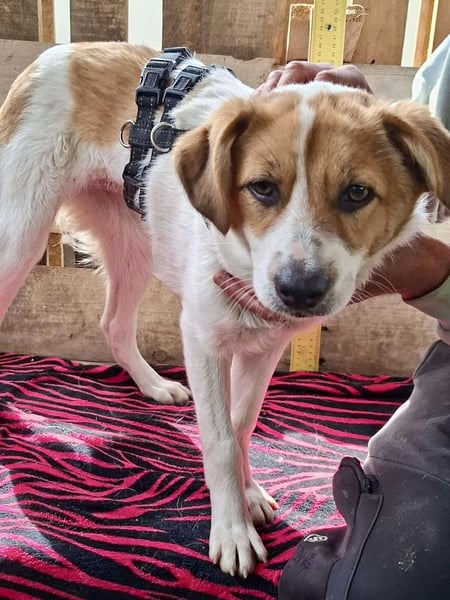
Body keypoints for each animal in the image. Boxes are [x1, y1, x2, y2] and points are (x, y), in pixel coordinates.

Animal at [1, 42, 450, 577]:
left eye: (357, 193)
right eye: (262, 188)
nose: (299, 292)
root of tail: (62, 50)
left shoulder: (264, 347)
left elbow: (241, 425)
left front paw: (246, 492)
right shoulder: (204, 339)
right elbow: (217, 438)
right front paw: (231, 530)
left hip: (136, 243)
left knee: (113, 325)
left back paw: (153, 385)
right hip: (21, 234)